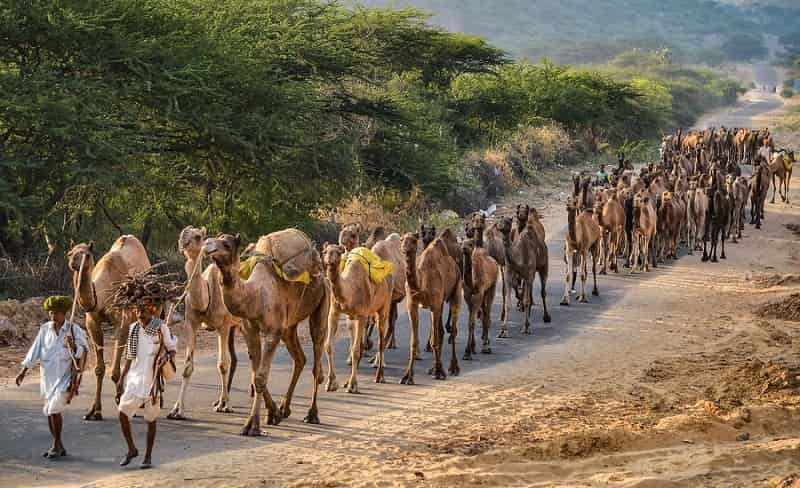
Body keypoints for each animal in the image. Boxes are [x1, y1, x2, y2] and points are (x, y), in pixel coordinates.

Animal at [67, 236, 150, 421]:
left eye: (87, 255)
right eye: (69, 253)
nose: (74, 262)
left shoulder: (122, 321)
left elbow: (115, 371)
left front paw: (120, 398)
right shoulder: (92, 322)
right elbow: (99, 369)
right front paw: (95, 411)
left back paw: (138, 400)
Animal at [167, 226, 240, 420]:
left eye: (198, 236)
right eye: (183, 232)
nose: (183, 241)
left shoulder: (223, 326)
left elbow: (222, 364)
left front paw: (226, 406)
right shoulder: (191, 324)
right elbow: (187, 367)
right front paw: (177, 410)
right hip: (235, 327)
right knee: (235, 359)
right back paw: (219, 399)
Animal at [203, 232, 327, 435]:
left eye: (227, 245)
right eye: (213, 238)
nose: (207, 244)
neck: (254, 295)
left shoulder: (272, 333)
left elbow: (261, 378)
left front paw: (252, 425)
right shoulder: (250, 330)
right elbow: (256, 376)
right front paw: (273, 414)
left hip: (322, 301)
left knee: (317, 358)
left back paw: (312, 414)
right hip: (289, 326)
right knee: (300, 358)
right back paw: (285, 409)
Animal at [322, 244, 393, 392]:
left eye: (337, 252)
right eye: (325, 251)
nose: (329, 261)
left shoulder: (361, 315)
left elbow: (355, 350)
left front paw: (353, 385)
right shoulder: (334, 312)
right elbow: (329, 346)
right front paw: (331, 383)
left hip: (384, 306)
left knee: (380, 341)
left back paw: (379, 376)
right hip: (354, 317)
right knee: (359, 343)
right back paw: (347, 380)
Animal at [400, 232, 461, 383]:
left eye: (414, 240)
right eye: (401, 239)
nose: (405, 249)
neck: (421, 285)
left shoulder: (434, 305)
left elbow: (434, 341)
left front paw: (440, 373)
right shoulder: (412, 305)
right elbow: (414, 341)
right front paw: (407, 376)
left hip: (456, 290)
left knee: (453, 330)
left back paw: (453, 368)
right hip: (440, 303)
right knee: (441, 331)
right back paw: (434, 368)